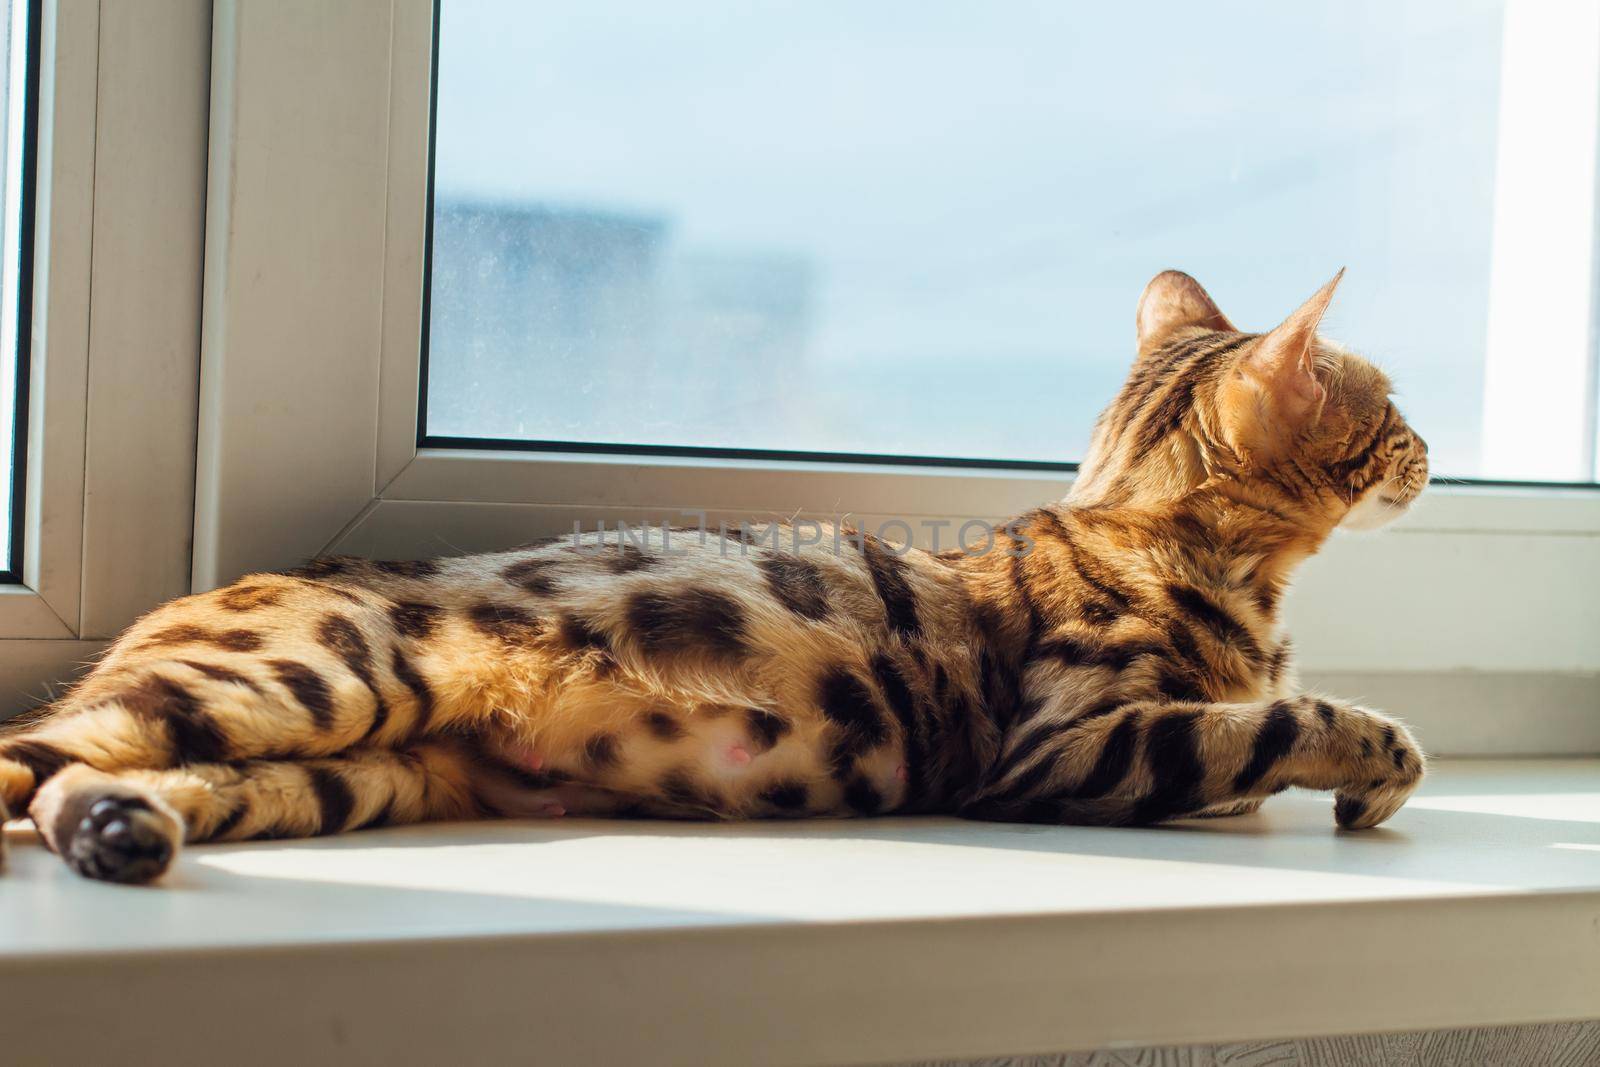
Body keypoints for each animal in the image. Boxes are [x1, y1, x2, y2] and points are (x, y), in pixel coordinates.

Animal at [0, 268, 1427, 883]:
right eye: (1394, 410)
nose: (1428, 450)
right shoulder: (1068, 748)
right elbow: (1286, 722)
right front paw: (1371, 764)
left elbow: (1260, 723)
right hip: (311, 680)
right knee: (37, 751)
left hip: (351, 767)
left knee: (97, 780)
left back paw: (120, 835)